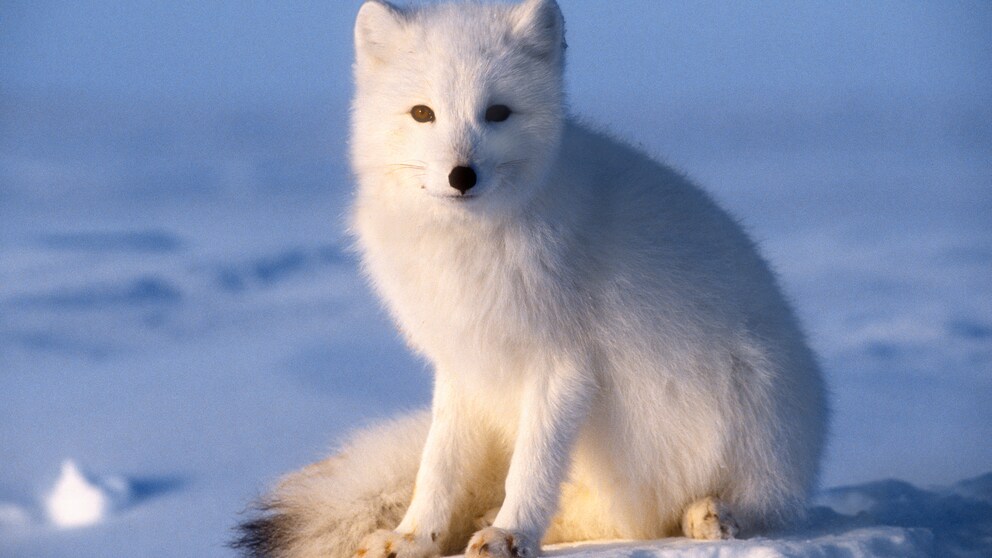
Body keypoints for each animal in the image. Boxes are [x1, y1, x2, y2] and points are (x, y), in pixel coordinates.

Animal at [234, 1, 828, 558]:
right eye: (422, 113)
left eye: (497, 113)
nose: (461, 175)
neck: (469, 249)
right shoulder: (463, 364)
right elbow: (438, 466)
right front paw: (415, 537)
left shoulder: (563, 364)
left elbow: (534, 465)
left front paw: (510, 534)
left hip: (754, 403)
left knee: (725, 509)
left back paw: (710, 515)